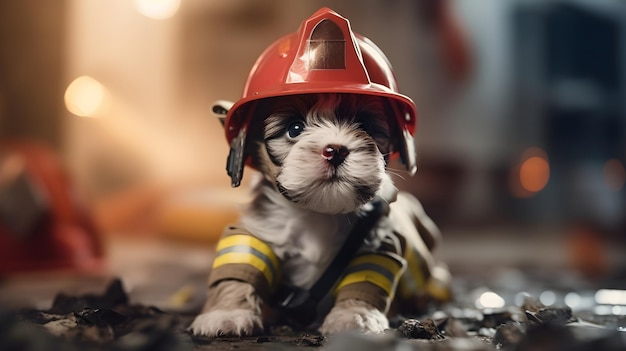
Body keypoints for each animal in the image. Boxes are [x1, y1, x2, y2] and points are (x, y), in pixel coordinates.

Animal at [186, 93, 444, 338]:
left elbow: (367, 276)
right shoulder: (258, 228)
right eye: (295, 128)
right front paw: (227, 314)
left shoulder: (379, 239)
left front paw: (356, 316)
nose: (335, 150)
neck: (319, 210)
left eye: (364, 125)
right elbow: (241, 264)